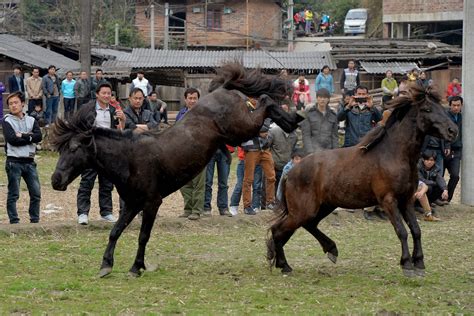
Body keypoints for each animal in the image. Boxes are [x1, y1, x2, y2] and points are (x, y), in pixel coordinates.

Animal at [51, 63, 304, 278]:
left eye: (73, 148)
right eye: (61, 149)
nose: (56, 180)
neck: (129, 159)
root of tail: (222, 89)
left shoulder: (151, 203)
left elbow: (143, 236)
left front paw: (136, 267)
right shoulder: (132, 204)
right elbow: (115, 231)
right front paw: (106, 265)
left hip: (241, 129)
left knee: (264, 102)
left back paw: (293, 118)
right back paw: (291, 120)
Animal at [266, 86, 456, 276]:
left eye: (441, 107)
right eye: (427, 109)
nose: (453, 130)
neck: (394, 155)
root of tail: (290, 173)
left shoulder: (406, 200)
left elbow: (416, 230)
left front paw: (419, 263)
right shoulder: (388, 201)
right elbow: (402, 231)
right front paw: (407, 264)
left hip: (323, 206)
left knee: (305, 226)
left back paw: (328, 250)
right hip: (304, 210)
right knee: (278, 230)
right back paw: (284, 265)